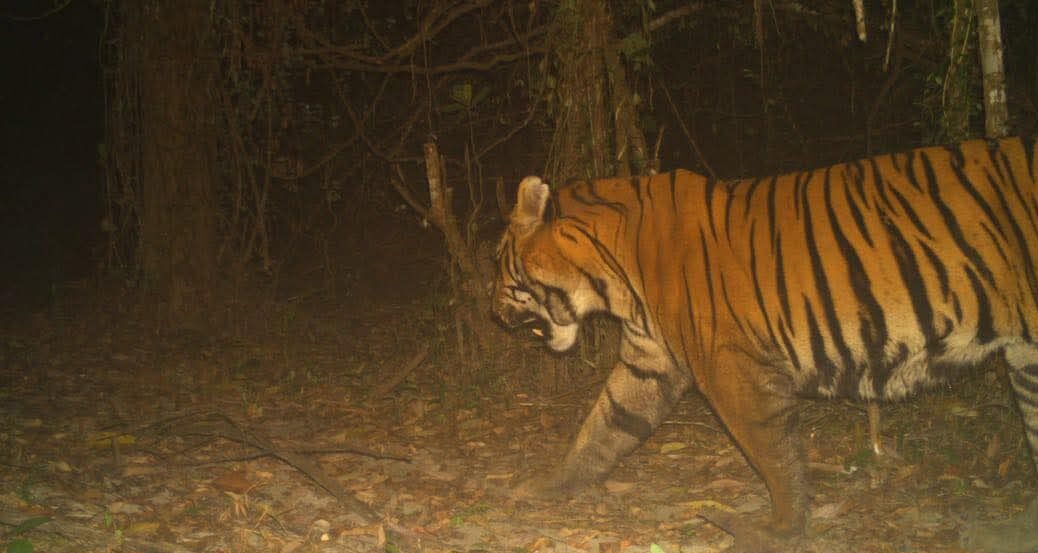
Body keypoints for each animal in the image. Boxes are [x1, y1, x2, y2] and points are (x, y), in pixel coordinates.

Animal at [492, 137, 1038, 545]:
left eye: (500, 263)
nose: (493, 312)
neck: (612, 277)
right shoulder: (650, 362)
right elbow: (604, 426)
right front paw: (547, 484)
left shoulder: (729, 366)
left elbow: (773, 453)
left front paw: (781, 528)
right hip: (1027, 357)